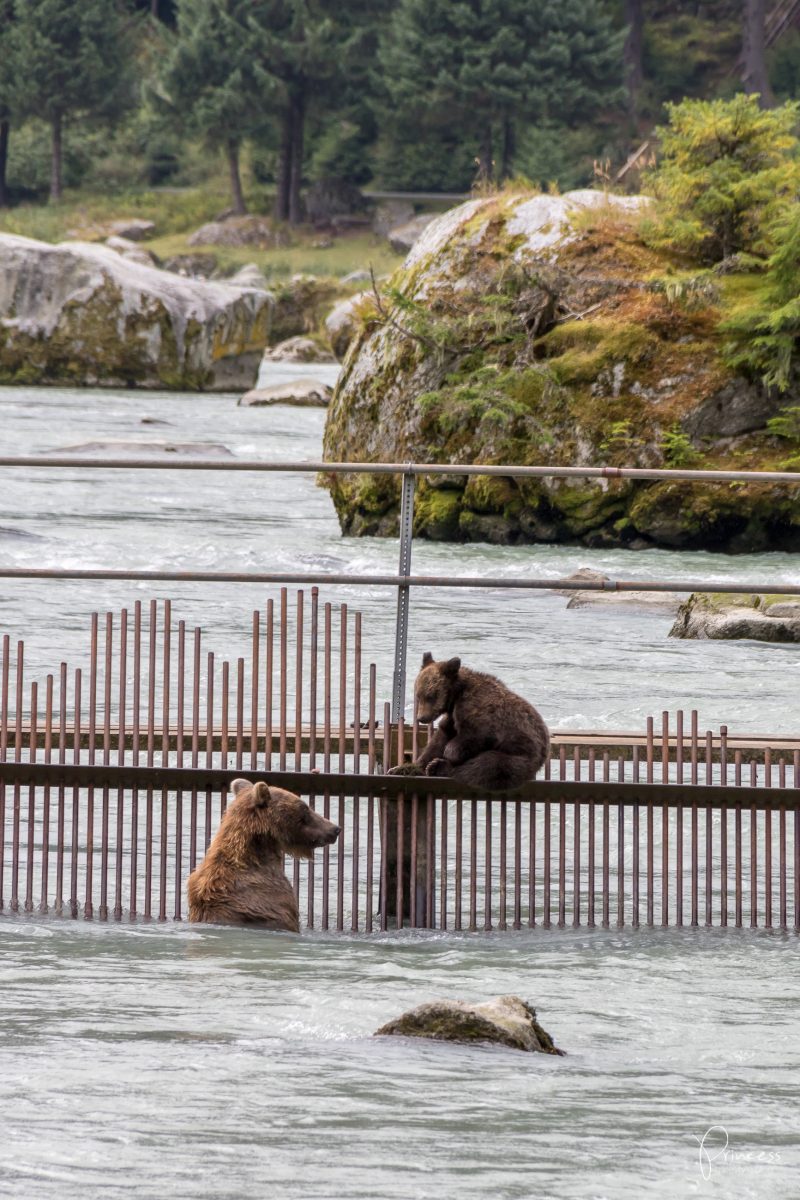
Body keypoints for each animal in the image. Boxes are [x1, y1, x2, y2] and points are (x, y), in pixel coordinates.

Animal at [388, 652, 551, 792]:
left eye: (431, 696)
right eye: (418, 695)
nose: (421, 717)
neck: (455, 697)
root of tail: (545, 749)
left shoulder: (477, 710)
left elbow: (476, 735)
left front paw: (449, 753)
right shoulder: (452, 717)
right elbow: (439, 740)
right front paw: (403, 768)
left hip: (521, 755)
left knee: (488, 766)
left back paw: (439, 767)